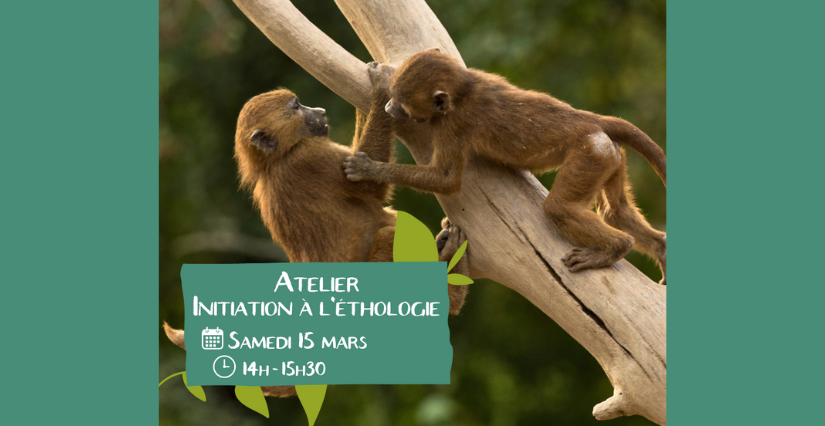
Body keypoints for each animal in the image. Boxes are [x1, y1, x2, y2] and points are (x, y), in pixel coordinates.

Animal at [164, 63, 470, 400]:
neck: (275, 161)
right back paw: (453, 280)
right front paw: (379, 90)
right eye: (296, 106)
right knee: (391, 237)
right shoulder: (312, 156)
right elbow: (370, 185)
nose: (320, 111)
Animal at [344, 49, 668, 282]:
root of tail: (589, 121)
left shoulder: (452, 125)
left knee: (559, 208)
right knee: (615, 211)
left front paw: (367, 168)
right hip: (609, 155)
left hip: (590, 154)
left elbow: (447, 180)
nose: (389, 107)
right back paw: (659, 248)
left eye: (399, 102)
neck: (464, 88)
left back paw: (617, 247)